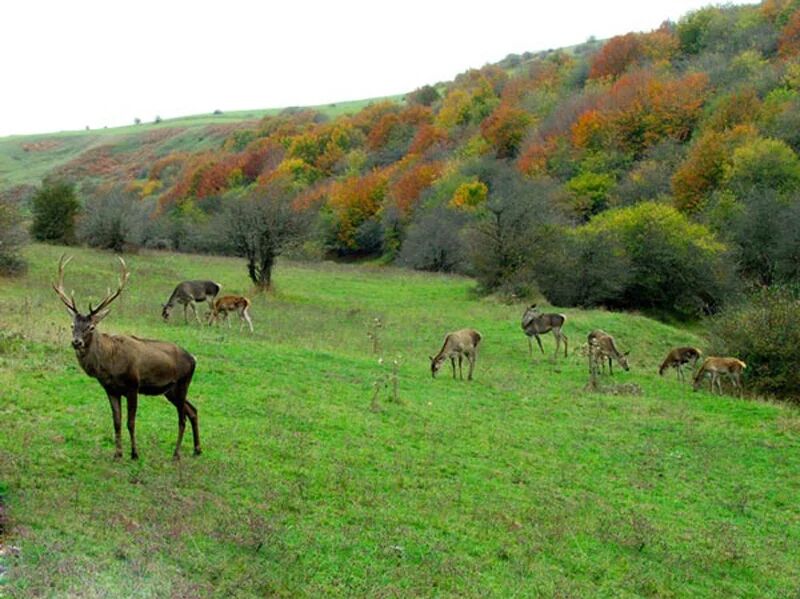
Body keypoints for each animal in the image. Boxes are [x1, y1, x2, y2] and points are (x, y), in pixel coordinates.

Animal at [53, 255, 202, 462]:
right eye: (72, 325)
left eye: (91, 327)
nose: (76, 342)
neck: (110, 365)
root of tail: (193, 359)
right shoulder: (110, 390)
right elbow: (116, 421)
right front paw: (117, 453)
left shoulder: (133, 385)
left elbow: (130, 422)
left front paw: (134, 453)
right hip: (170, 390)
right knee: (193, 410)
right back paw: (197, 449)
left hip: (182, 383)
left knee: (182, 418)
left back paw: (176, 454)